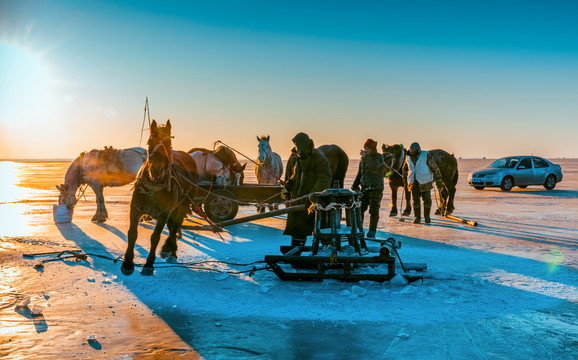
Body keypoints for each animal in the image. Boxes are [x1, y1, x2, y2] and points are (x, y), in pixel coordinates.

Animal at [120, 119, 198, 278]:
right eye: (150, 141)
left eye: (169, 143)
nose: (156, 169)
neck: (153, 187)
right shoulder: (136, 209)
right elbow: (132, 234)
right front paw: (128, 263)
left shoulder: (163, 213)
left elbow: (155, 237)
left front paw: (149, 264)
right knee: (173, 225)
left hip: (182, 205)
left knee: (175, 226)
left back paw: (170, 250)